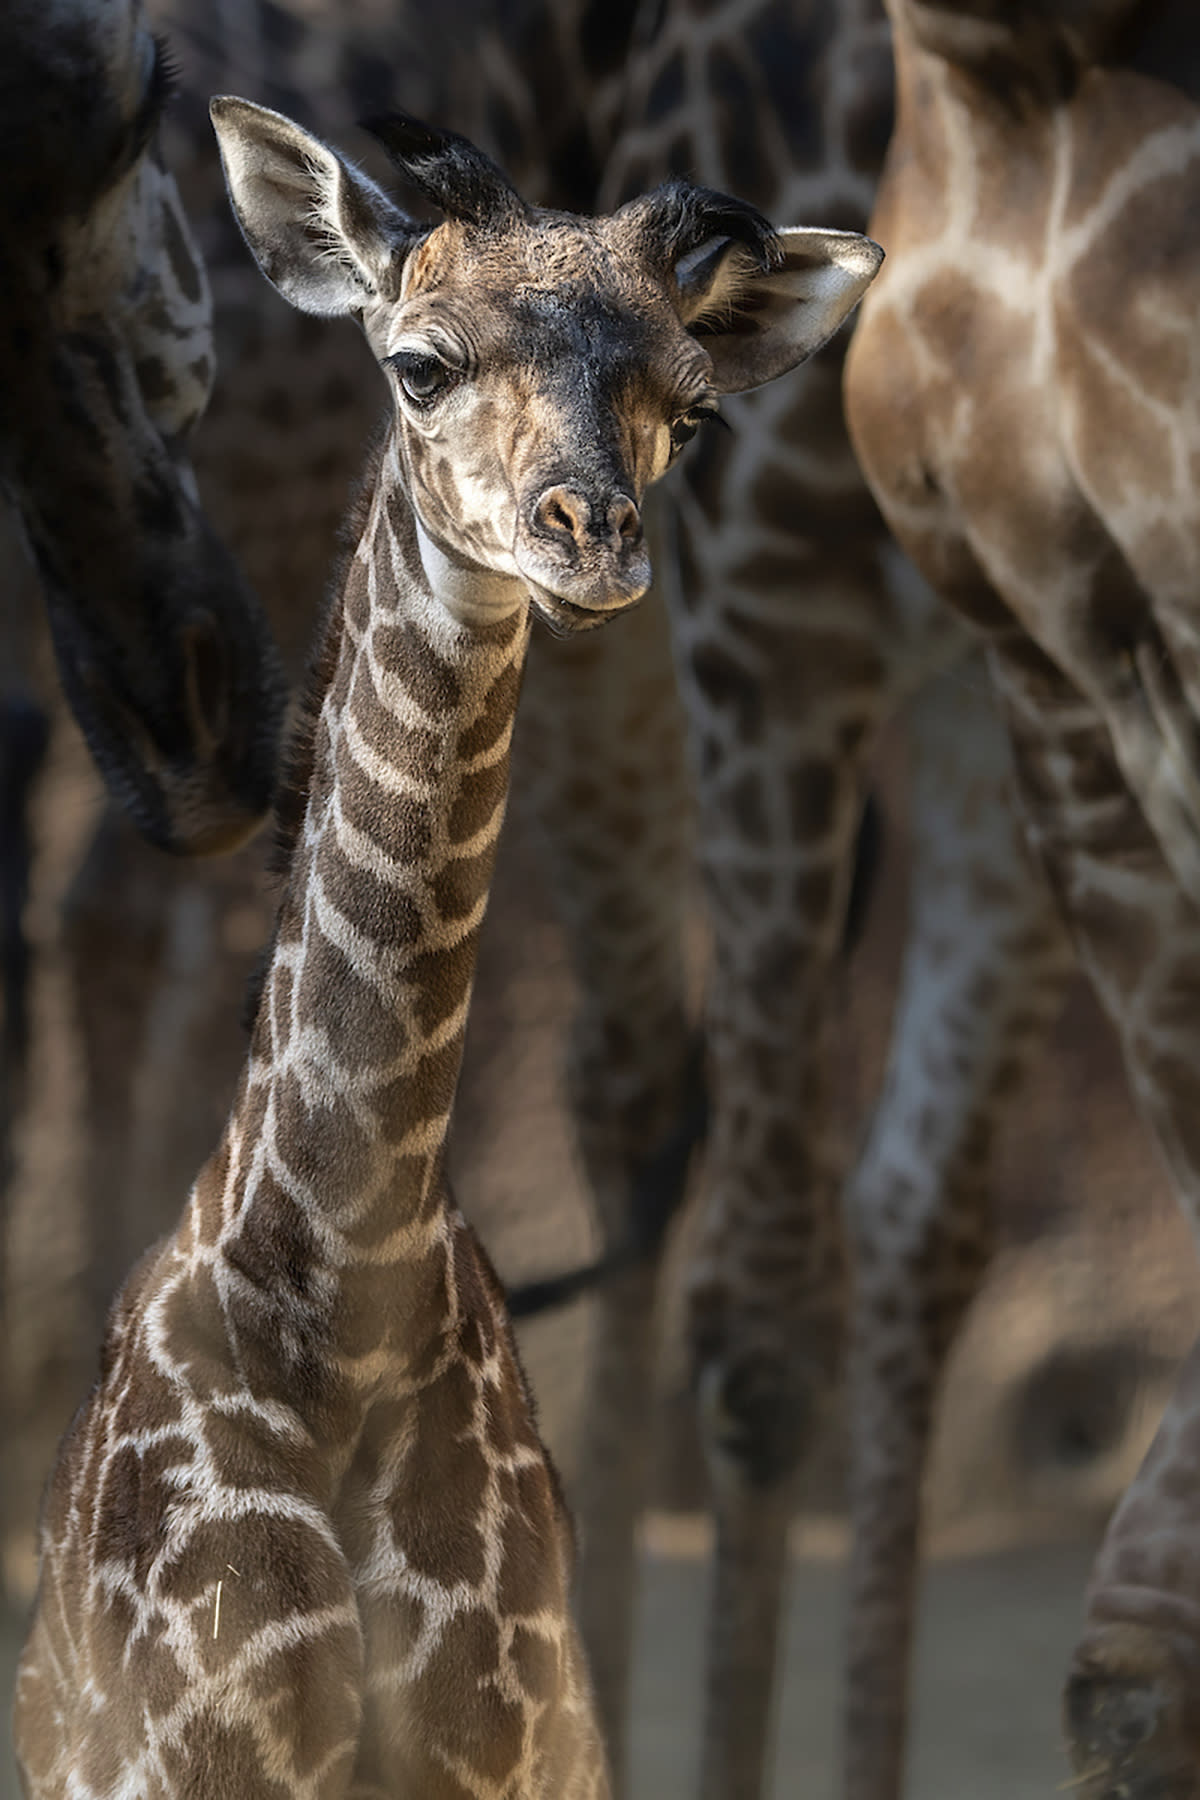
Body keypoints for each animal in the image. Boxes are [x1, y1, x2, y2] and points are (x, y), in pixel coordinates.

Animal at [11, 102, 881, 1800]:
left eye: (688, 405)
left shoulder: (518, 1754)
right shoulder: (199, 1761)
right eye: (419, 365)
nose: (590, 536)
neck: (346, 1301)